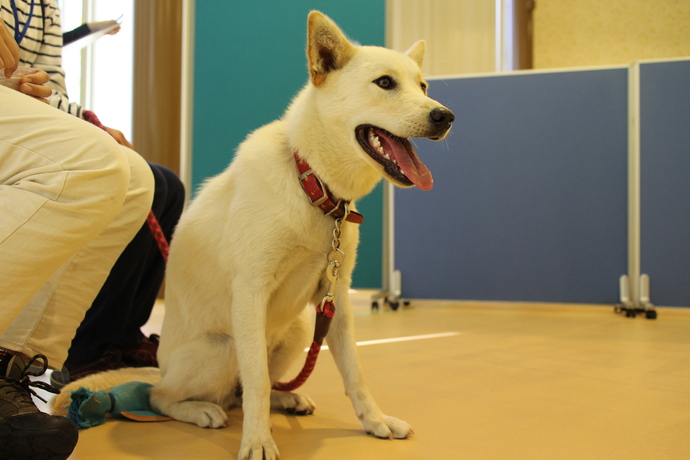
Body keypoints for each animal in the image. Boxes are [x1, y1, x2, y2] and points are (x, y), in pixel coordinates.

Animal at [57, 10, 452, 460]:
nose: (446, 116)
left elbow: (355, 373)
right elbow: (258, 381)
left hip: (299, 327)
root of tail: (161, 364)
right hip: (222, 346)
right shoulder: (250, 291)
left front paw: (375, 421)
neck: (310, 184)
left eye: (423, 87)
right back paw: (201, 409)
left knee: (239, 391)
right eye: (385, 83)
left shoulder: (334, 299)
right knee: (166, 396)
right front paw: (258, 440)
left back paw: (287, 398)